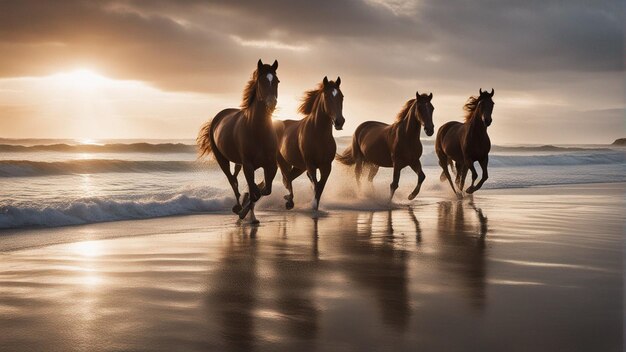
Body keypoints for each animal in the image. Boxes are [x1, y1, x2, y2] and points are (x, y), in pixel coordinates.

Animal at [196, 58, 280, 221]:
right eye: (261, 81)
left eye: (277, 81)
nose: (271, 103)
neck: (258, 130)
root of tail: (217, 118)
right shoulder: (248, 165)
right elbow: (255, 192)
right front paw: (243, 210)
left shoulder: (271, 164)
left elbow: (265, 190)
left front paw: (248, 209)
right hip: (222, 159)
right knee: (231, 180)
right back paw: (238, 206)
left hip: (238, 162)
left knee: (235, 177)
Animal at [272, 76, 344, 210]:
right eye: (327, 96)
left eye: (341, 96)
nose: (339, 122)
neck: (319, 135)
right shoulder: (310, 165)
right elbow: (315, 184)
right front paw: (313, 204)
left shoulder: (326, 166)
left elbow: (320, 186)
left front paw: (314, 204)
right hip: (283, 162)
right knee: (287, 179)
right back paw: (289, 201)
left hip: (299, 166)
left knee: (289, 178)